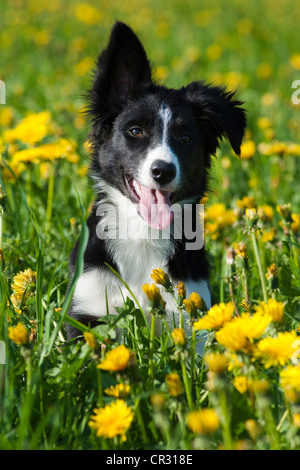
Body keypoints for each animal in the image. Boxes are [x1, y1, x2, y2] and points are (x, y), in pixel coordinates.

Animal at [66, 21, 246, 346]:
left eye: (186, 138)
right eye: (135, 130)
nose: (163, 171)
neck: (142, 233)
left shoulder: (193, 316)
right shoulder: (86, 309)